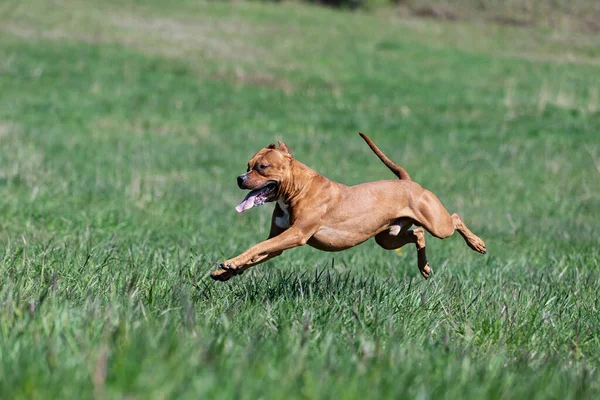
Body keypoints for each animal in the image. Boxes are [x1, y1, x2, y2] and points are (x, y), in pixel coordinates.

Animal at [209, 134, 486, 282]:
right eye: (248, 165)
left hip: (438, 224)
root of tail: (407, 181)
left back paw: (477, 243)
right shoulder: (280, 240)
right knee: (418, 234)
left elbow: (256, 247)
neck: (297, 188)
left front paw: (231, 263)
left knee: (455, 219)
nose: (239, 179)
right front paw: (226, 272)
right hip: (387, 238)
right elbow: (259, 253)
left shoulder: (296, 234)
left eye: (262, 167)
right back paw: (424, 267)